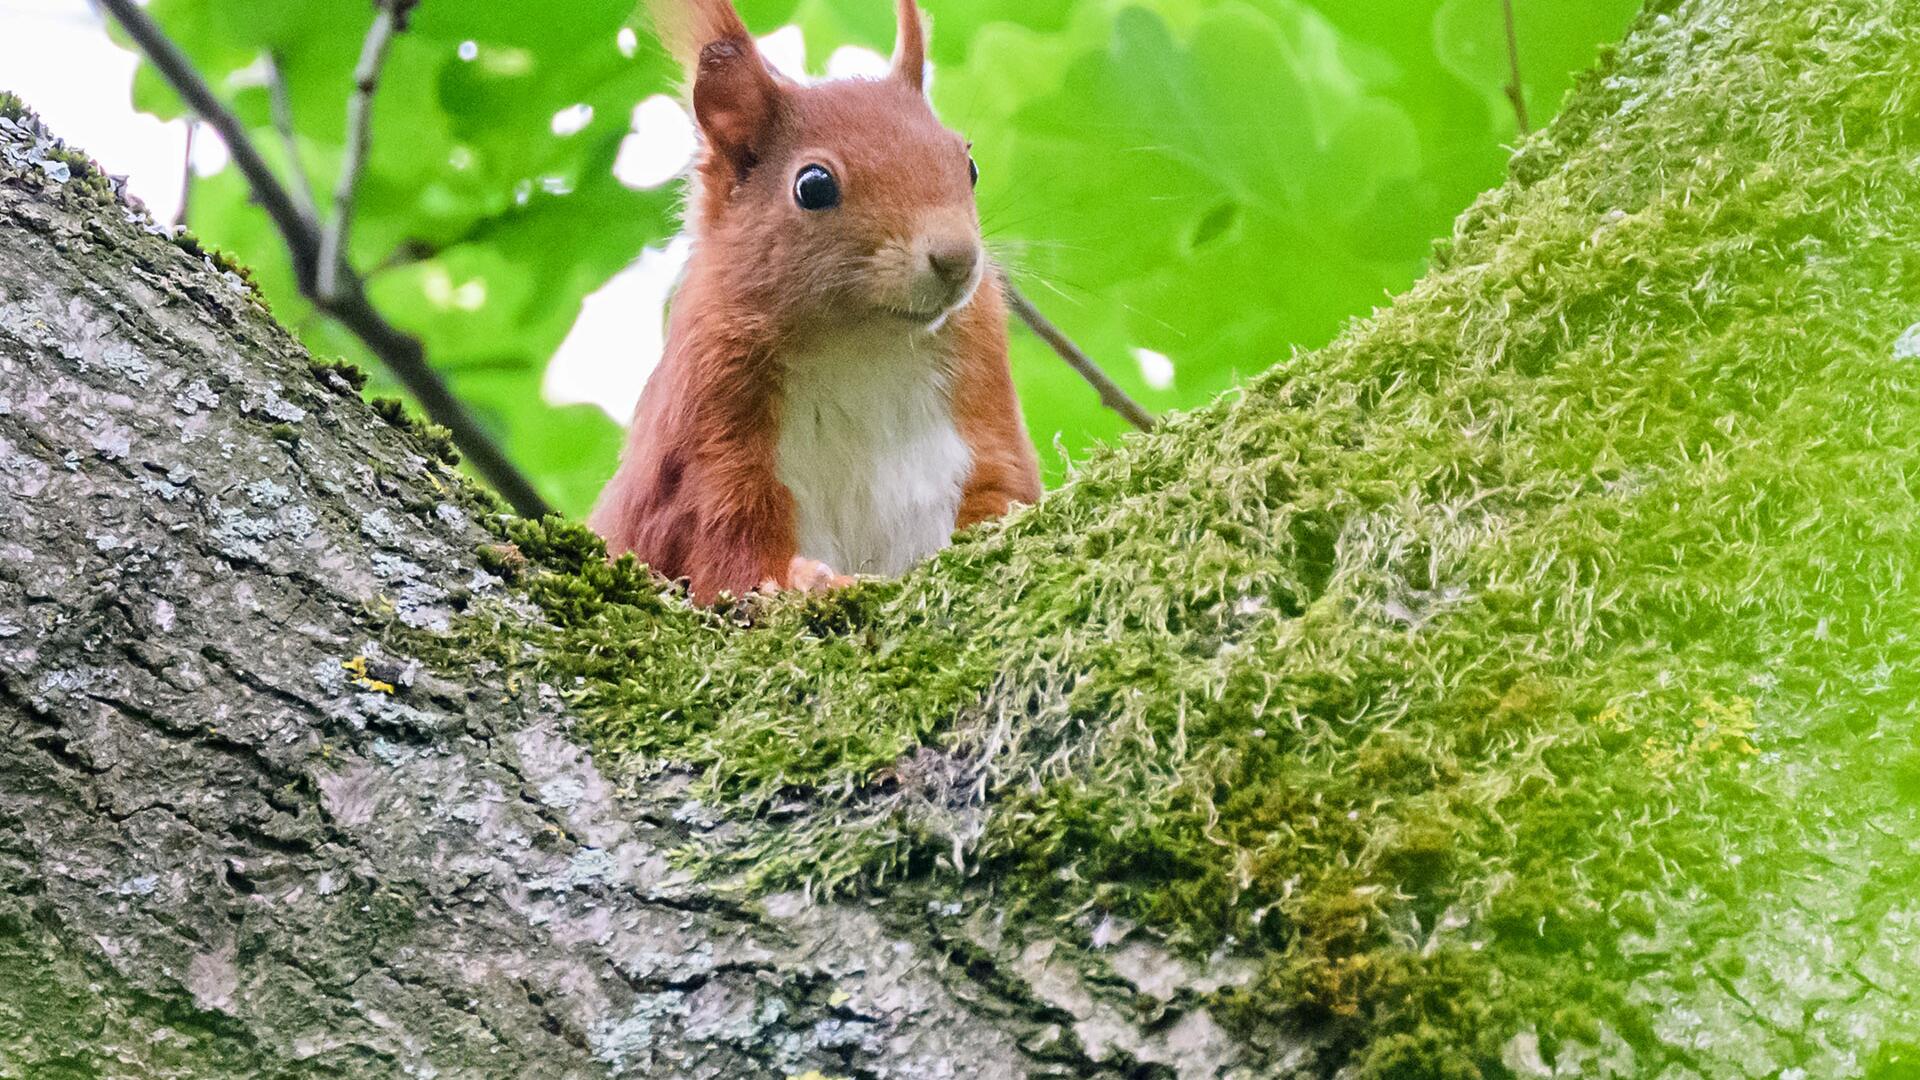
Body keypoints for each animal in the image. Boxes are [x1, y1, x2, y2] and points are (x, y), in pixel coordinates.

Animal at [587, 0, 1044, 599]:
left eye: (968, 165)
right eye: (813, 186)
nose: (957, 259)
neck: (861, 345)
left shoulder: (984, 413)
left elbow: (1001, 490)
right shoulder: (710, 440)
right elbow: (723, 550)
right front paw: (803, 582)